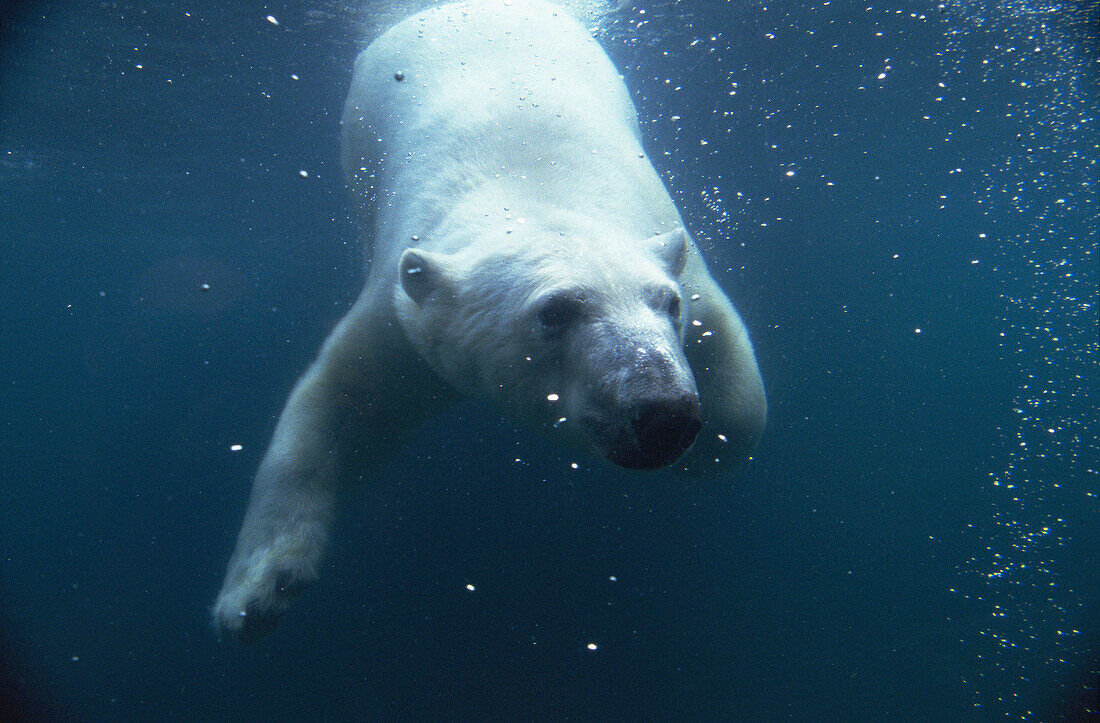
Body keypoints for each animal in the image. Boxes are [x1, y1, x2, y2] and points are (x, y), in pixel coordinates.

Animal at [214, 0, 765, 638]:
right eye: (555, 311)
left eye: (668, 305)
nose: (663, 414)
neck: (535, 186)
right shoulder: (407, 308)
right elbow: (342, 403)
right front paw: (256, 592)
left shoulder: (677, 251)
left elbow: (731, 362)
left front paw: (715, 443)